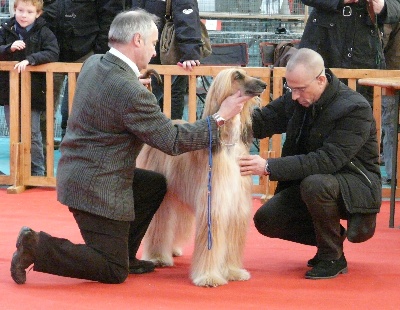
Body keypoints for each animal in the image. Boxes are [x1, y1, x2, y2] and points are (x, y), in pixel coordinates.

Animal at [138, 67, 266, 286]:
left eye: (247, 72)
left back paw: (172, 250)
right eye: (237, 76)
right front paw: (209, 276)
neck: (227, 143)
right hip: (165, 197)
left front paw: (232, 271)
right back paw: (158, 257)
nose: (264, 84)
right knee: (160, 224)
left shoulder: (235, 206)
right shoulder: (214, 204)